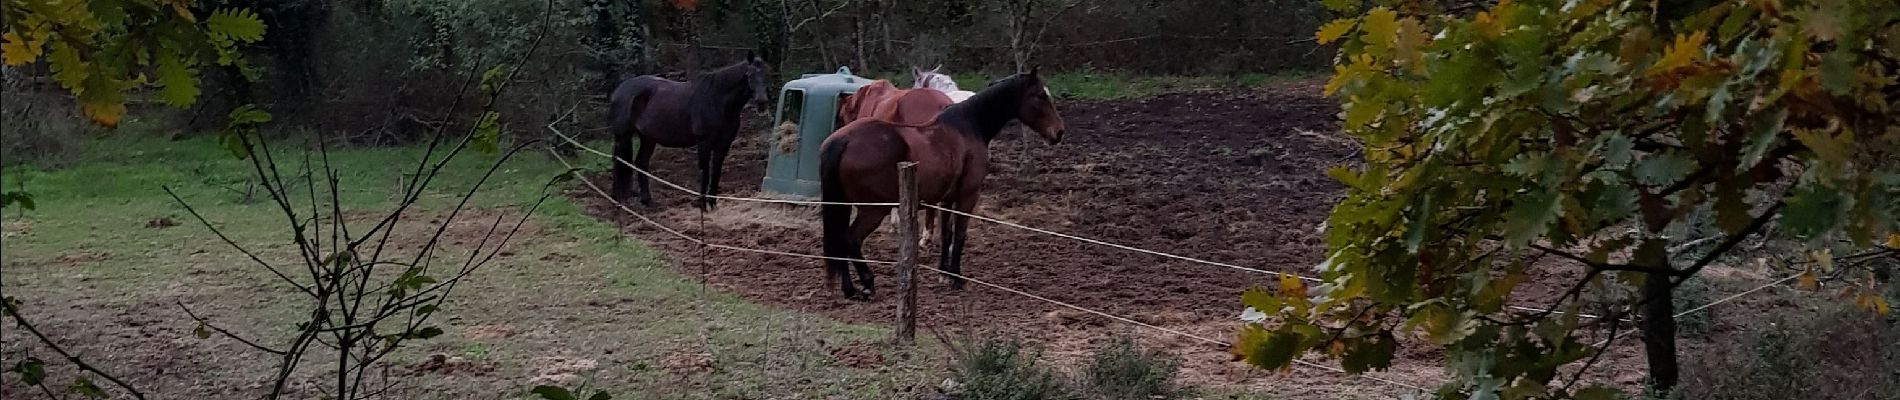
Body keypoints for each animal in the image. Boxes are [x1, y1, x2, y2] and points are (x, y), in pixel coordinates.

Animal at [600, 53, 763, 209]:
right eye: (749, 75)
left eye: (765, 74)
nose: (763, 102)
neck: (716, 100)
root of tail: (619, 90)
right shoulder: (704, 143)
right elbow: (705, 171)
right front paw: (702, 205)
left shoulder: (724, 143)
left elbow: (716, 171)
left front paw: (712, 203)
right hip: (623, 137)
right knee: (618, 161)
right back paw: (617, 199)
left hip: (648, 138)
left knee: (641, 162)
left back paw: (646, 201)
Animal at [813, 69, 1064, 299]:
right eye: (1041, 96)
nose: (1059, 133)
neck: (968, 126)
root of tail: (843, 140)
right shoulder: (967, 196)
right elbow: (960, 235)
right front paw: (956, 278)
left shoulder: (946, 198)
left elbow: (947, 234)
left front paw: (944, 273)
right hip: (873, 210)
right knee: (851, 240)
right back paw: (867, 282)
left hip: (846, 205)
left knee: (840, 241)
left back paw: (849, 289)